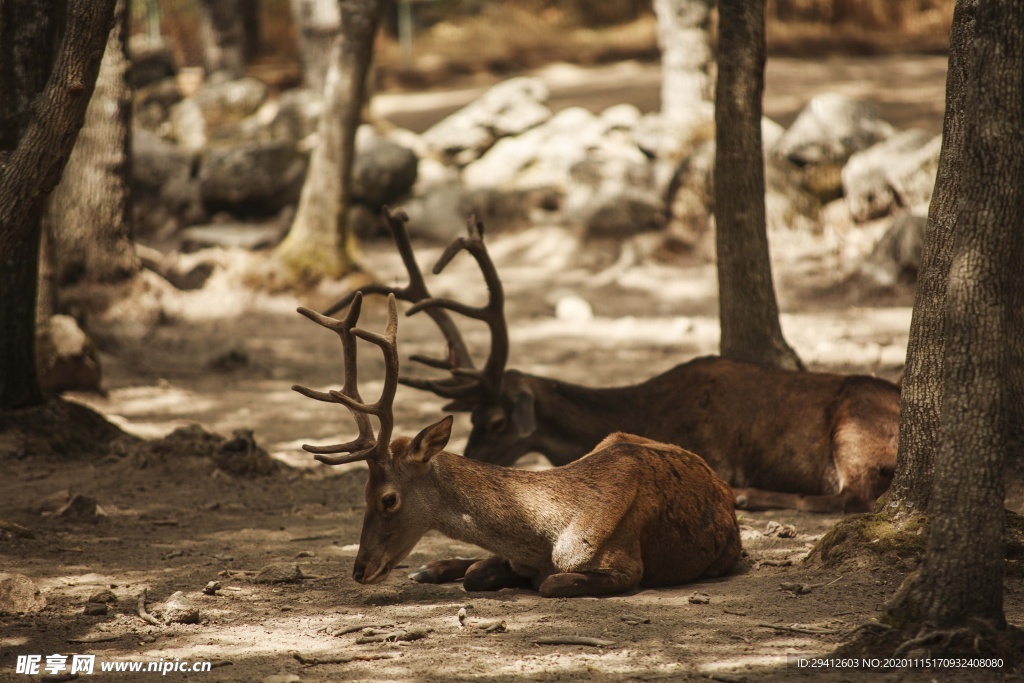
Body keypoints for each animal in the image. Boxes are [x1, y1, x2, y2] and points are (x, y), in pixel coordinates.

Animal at [292, 294, 741, 598]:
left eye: (388, 499)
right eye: (362, 493)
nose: (360, 570)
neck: (548, 538)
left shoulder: (626, 564)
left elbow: (550, 583)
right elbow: (479, 572)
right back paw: (430, 568)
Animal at [327, 208, 897, 511]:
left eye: (496, 420)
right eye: (470, 419)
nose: (469, 461)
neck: (646, 411)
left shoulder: (714, 449)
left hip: (855, 427)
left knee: (852, 494)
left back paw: (749, 495)